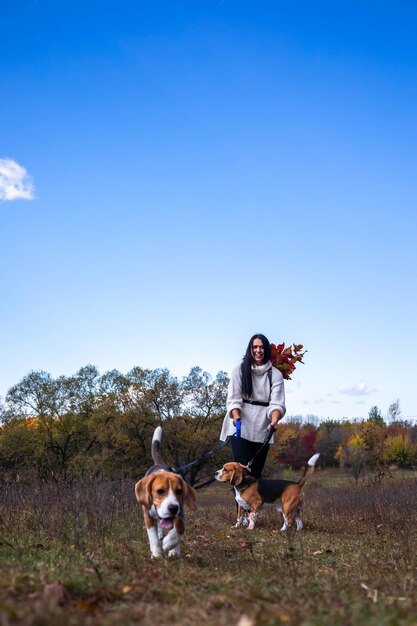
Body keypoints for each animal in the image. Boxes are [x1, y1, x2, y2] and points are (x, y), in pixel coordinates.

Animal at [135, 424, 197, 556]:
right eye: (160, 491)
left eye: (179, 491)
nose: (173, 508)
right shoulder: (147, 514)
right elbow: (152, 535)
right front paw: (157, 552)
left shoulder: (180, 513)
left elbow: (178, 531)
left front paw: (168, 544)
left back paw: (174, 550)